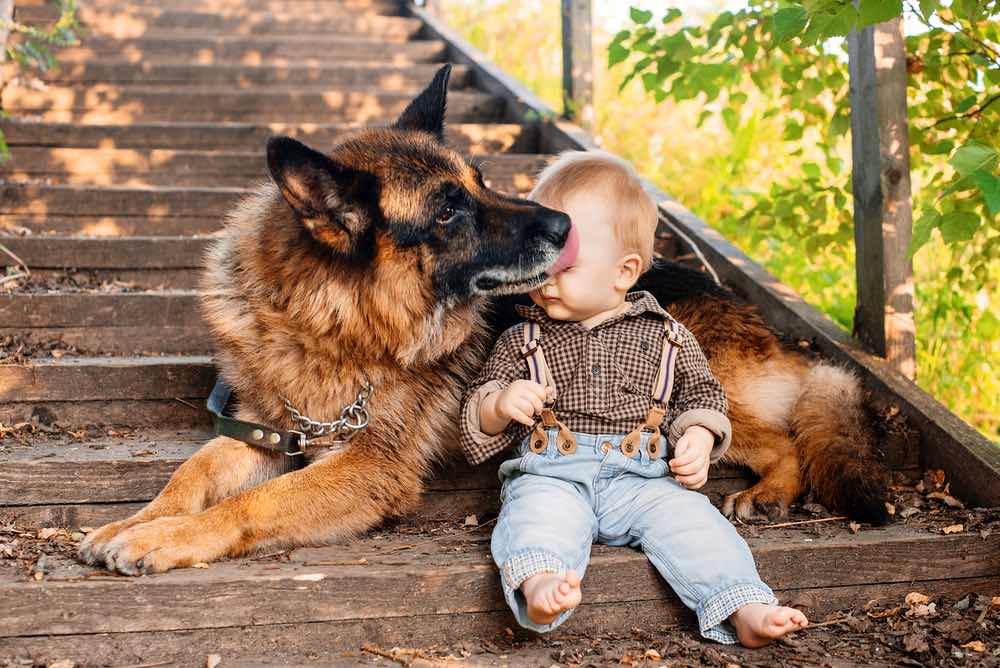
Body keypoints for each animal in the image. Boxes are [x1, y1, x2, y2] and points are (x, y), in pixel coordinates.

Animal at [80, 65, 892, 576]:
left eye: (480, 182)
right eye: (449, 211)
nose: (565, 225)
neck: (331, 321)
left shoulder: (367, 468)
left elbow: (252, 503)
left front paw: (168, 538)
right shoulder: (273, 428)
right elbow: (192, 471)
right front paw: (135, 521)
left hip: (694, 388)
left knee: (777, 438)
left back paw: (770, 489)